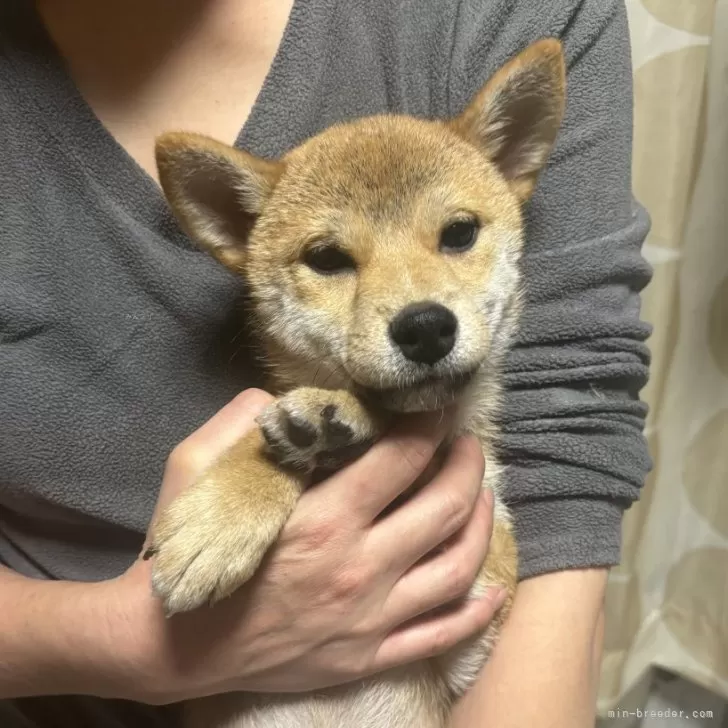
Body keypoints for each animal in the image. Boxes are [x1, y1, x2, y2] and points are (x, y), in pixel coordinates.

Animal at [149, 39, 568, 728]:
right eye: (327, 258)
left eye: (459, 233)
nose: (425, 328)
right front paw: (222, 512)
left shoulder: (475, 602)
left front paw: (336, 422)